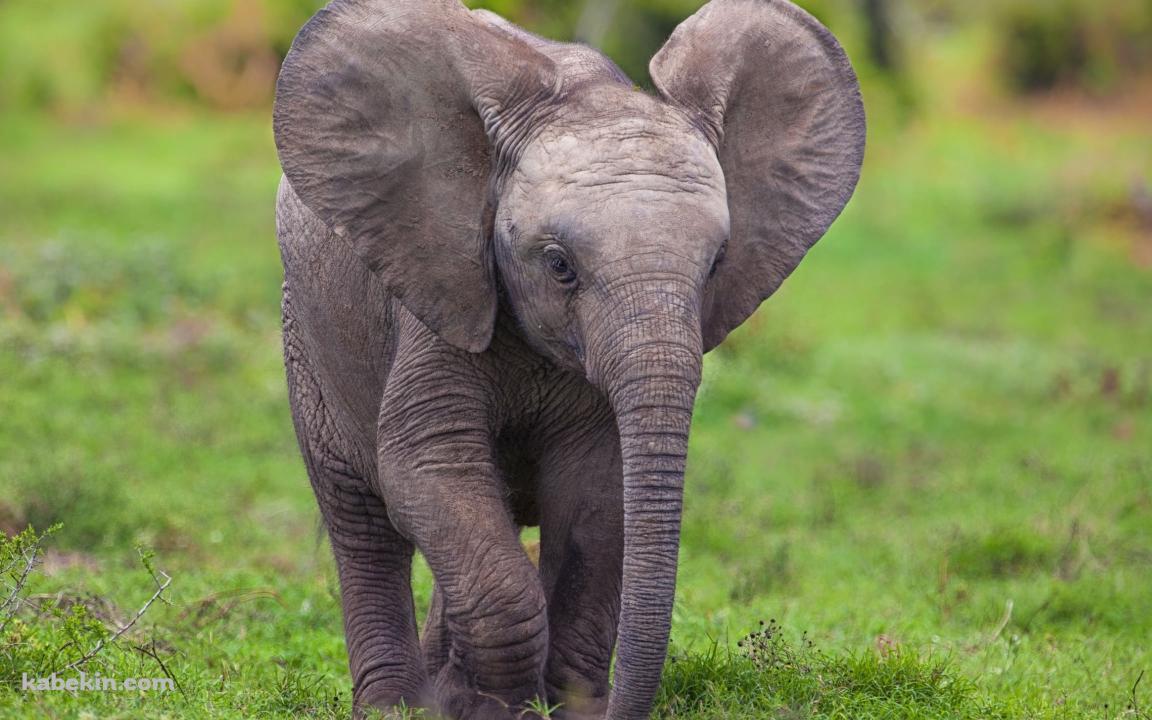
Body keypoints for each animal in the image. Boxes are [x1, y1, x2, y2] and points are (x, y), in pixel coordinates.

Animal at [272, 0, 864, 718]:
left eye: (716, 264)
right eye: (559, 266)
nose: (609, 706)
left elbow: (596, 497)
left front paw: (552, 707)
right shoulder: (439, 298)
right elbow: (426, 467)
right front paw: (491, 709)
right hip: (307, 333)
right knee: (359, 520)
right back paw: (397, 706)